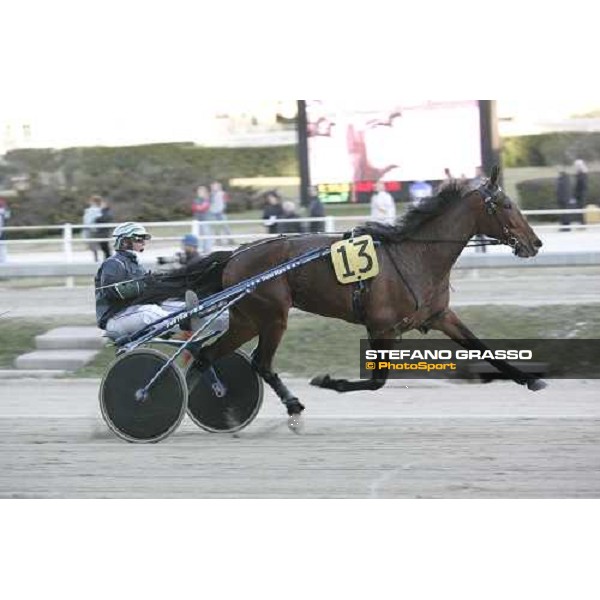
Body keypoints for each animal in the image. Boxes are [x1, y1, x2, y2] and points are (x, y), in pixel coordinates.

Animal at [136, 166, 544, 428]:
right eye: (506, 205)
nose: (536, 243)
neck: (416, 255)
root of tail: (236, 255)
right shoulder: (383, 328)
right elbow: (377, 382)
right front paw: (327, 381)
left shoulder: (440, 316)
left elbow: (482, 346)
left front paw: (529, 379)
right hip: (272, 316)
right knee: (258, 362)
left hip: (247, 318)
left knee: (207, 356)